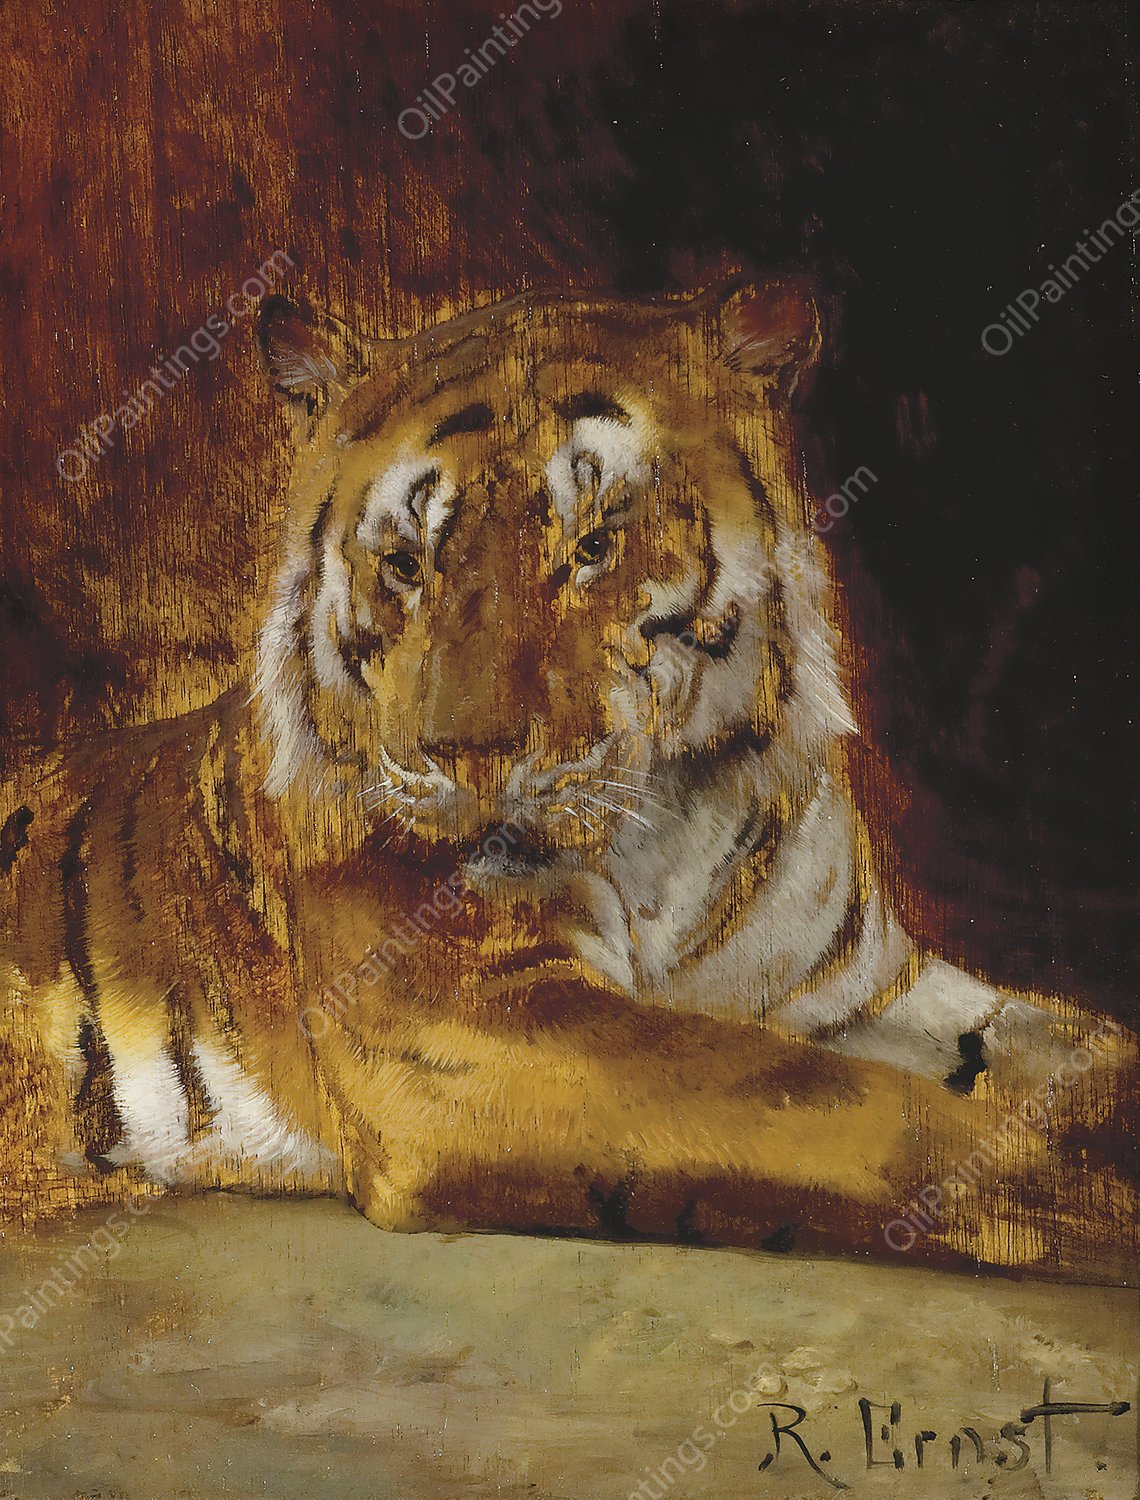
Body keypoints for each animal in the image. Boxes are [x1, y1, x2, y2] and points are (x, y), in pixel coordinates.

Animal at [1, 278, 1134, 1277]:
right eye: (405, 564)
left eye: (592, 546)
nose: (471, 755)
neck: (677, 825)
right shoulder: (469, 1021)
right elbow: (855, 1108)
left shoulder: (853, 987)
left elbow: (1072, 1046)